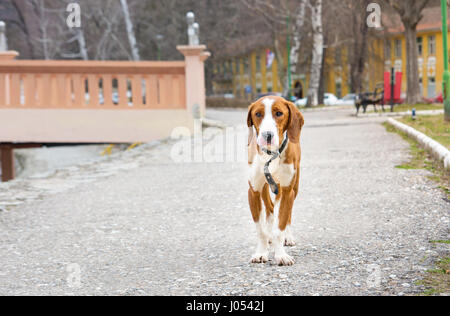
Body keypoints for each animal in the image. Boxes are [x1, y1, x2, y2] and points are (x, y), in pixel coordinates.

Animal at [248, 96, 304, 266]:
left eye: (279, 113)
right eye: (258, 114)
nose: (267, 135)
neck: (271, 154)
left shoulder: (287, 191)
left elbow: (281, 225)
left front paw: (281, 255)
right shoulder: (253, 191)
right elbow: (260, 230)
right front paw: (261, 252)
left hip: (294, 188)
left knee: (287, 213)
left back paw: (288, 237)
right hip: (266, 189)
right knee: (270, 208)